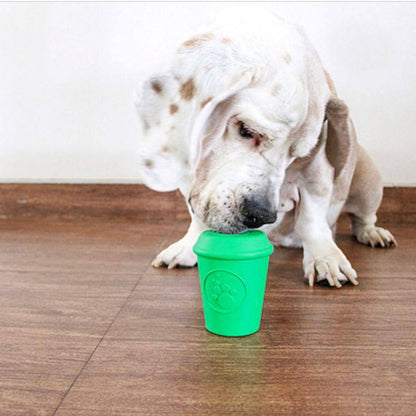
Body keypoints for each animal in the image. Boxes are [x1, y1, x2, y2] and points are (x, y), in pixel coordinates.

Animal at [136, 8, 396, 290]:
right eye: (247, 130)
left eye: (299, 155)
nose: (261, 215)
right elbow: (198, 216)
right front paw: (187, 247)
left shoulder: (317, 172)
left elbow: (312, 219)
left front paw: (325, 259)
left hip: (368, 182)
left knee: (363, 217)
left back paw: (372, 233)